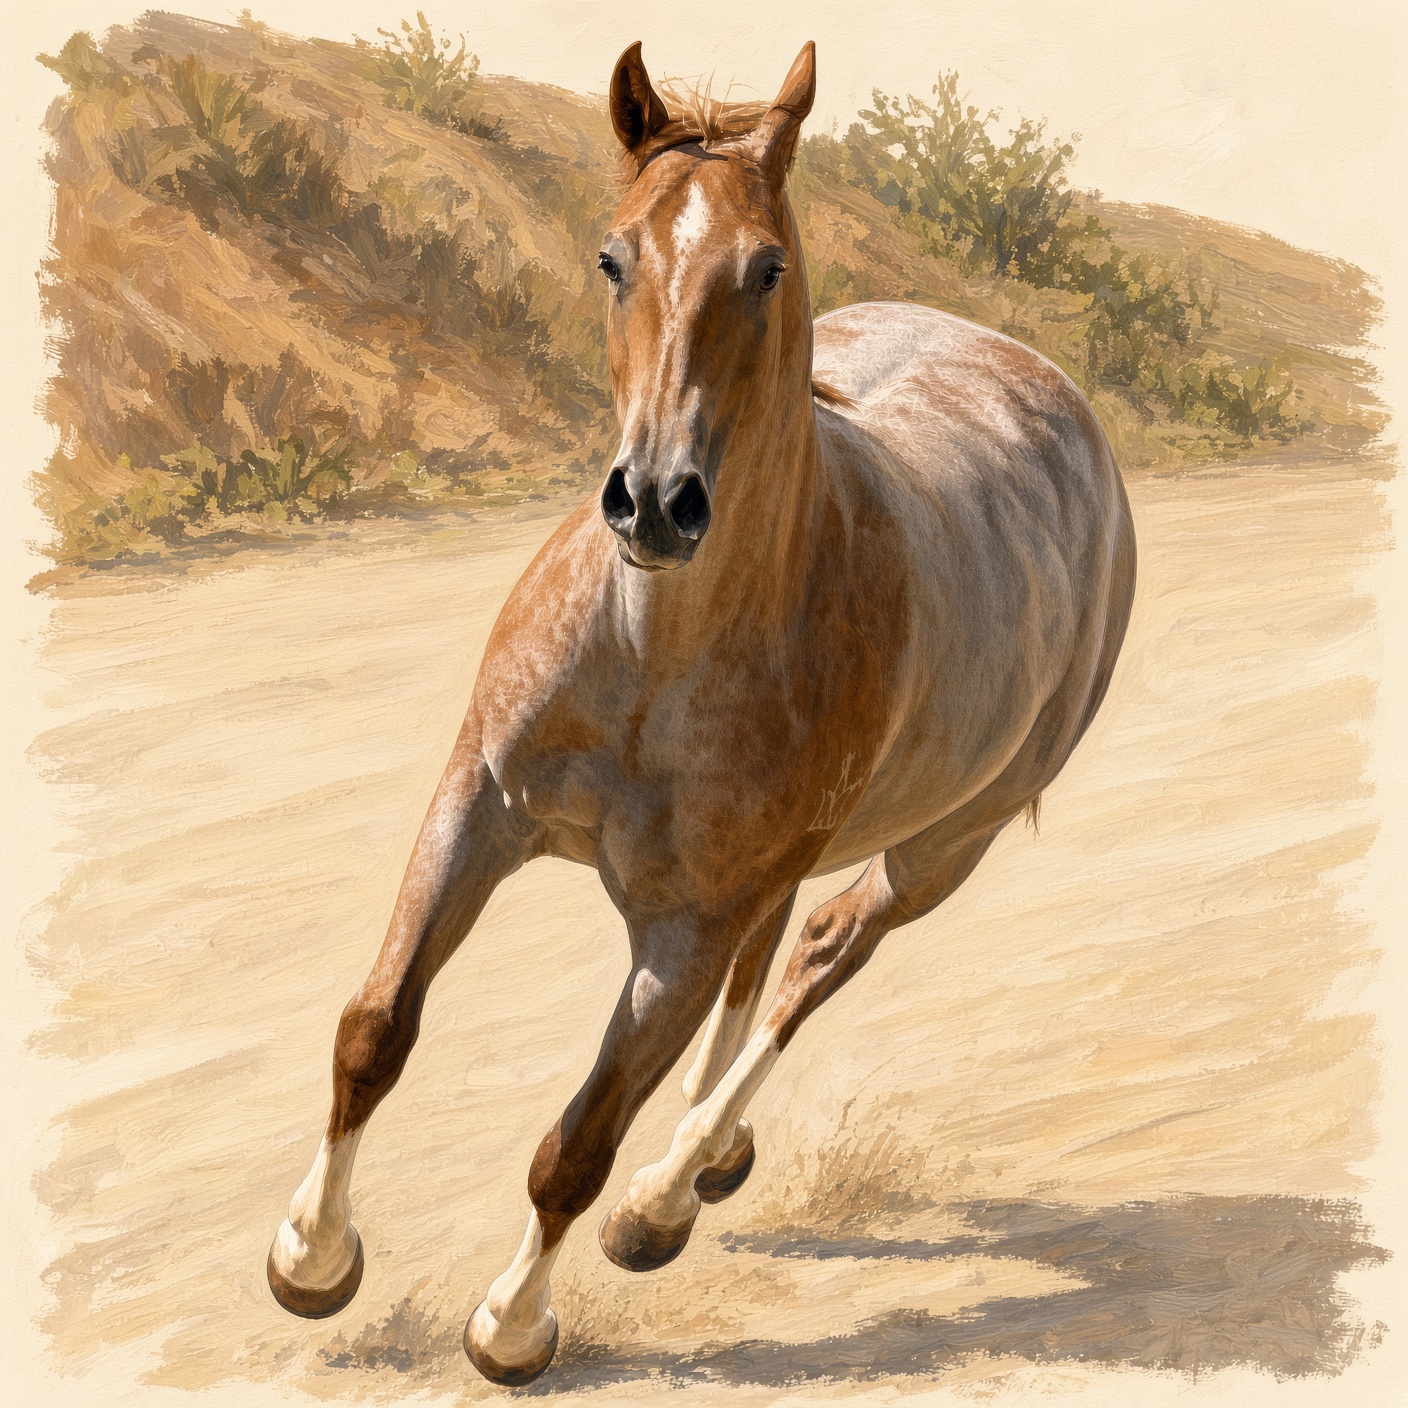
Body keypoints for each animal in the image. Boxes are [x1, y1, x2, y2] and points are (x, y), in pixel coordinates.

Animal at [266, 39, 1136, 1385]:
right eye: (611, 255)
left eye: (763, 268)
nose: (655, 503)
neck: (651, 658)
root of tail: (1052, 390)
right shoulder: (478, 803)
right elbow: (375, 1030)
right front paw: (310, 1256)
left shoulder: (678, 934)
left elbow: (576, 1146)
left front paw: (513, 1324)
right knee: (769, 957)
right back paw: (702, 1158)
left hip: (947, 843)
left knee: (821, 950)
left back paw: (666, 1194)